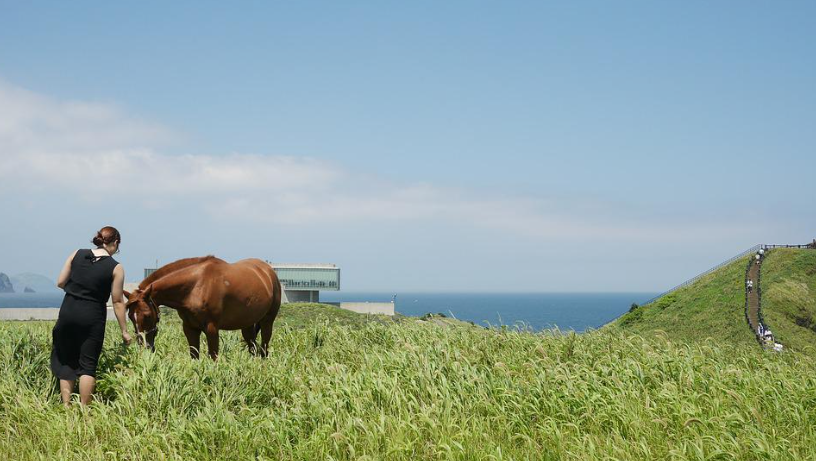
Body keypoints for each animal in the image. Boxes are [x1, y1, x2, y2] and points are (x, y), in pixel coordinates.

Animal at [123, 255, 284, 360]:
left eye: (147, 315)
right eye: (130, 316)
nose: (144, 346)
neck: (195, 286)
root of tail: (268, 271)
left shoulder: (212, 328)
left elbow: (213, 357)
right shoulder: (190, 328)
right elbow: (194, 356)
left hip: (267, 321)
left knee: (264, 346)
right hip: (247, 323)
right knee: (252, 346)